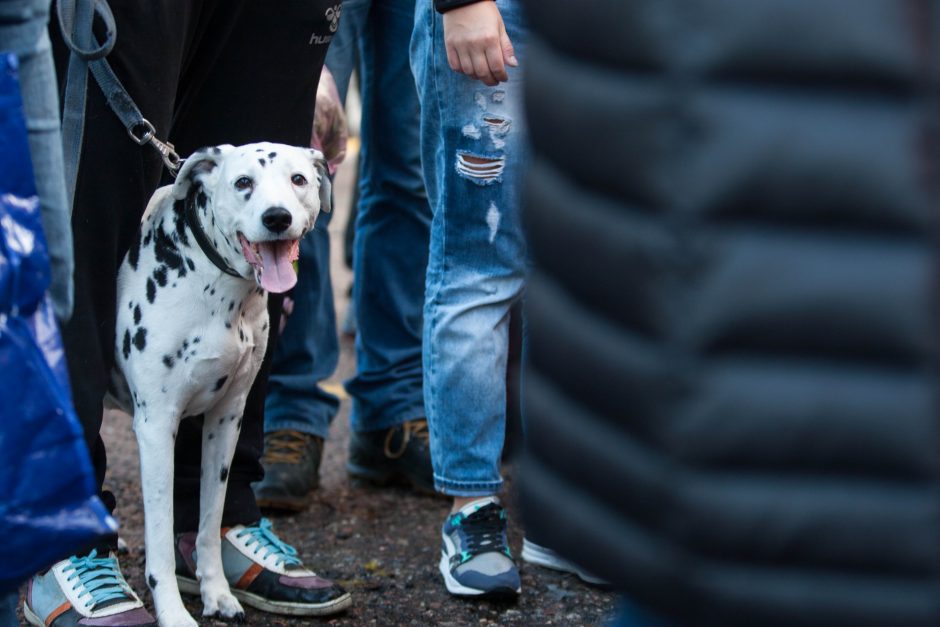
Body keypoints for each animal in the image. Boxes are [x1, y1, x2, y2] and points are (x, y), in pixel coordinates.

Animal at [113, 142, 330, 627]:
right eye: (243, 182)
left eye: (298, 180)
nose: (277, 217)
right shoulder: (156, 429)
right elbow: (160, 543)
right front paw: (173, 613)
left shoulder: (225, 418)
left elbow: (210, 523)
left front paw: (216, 591)